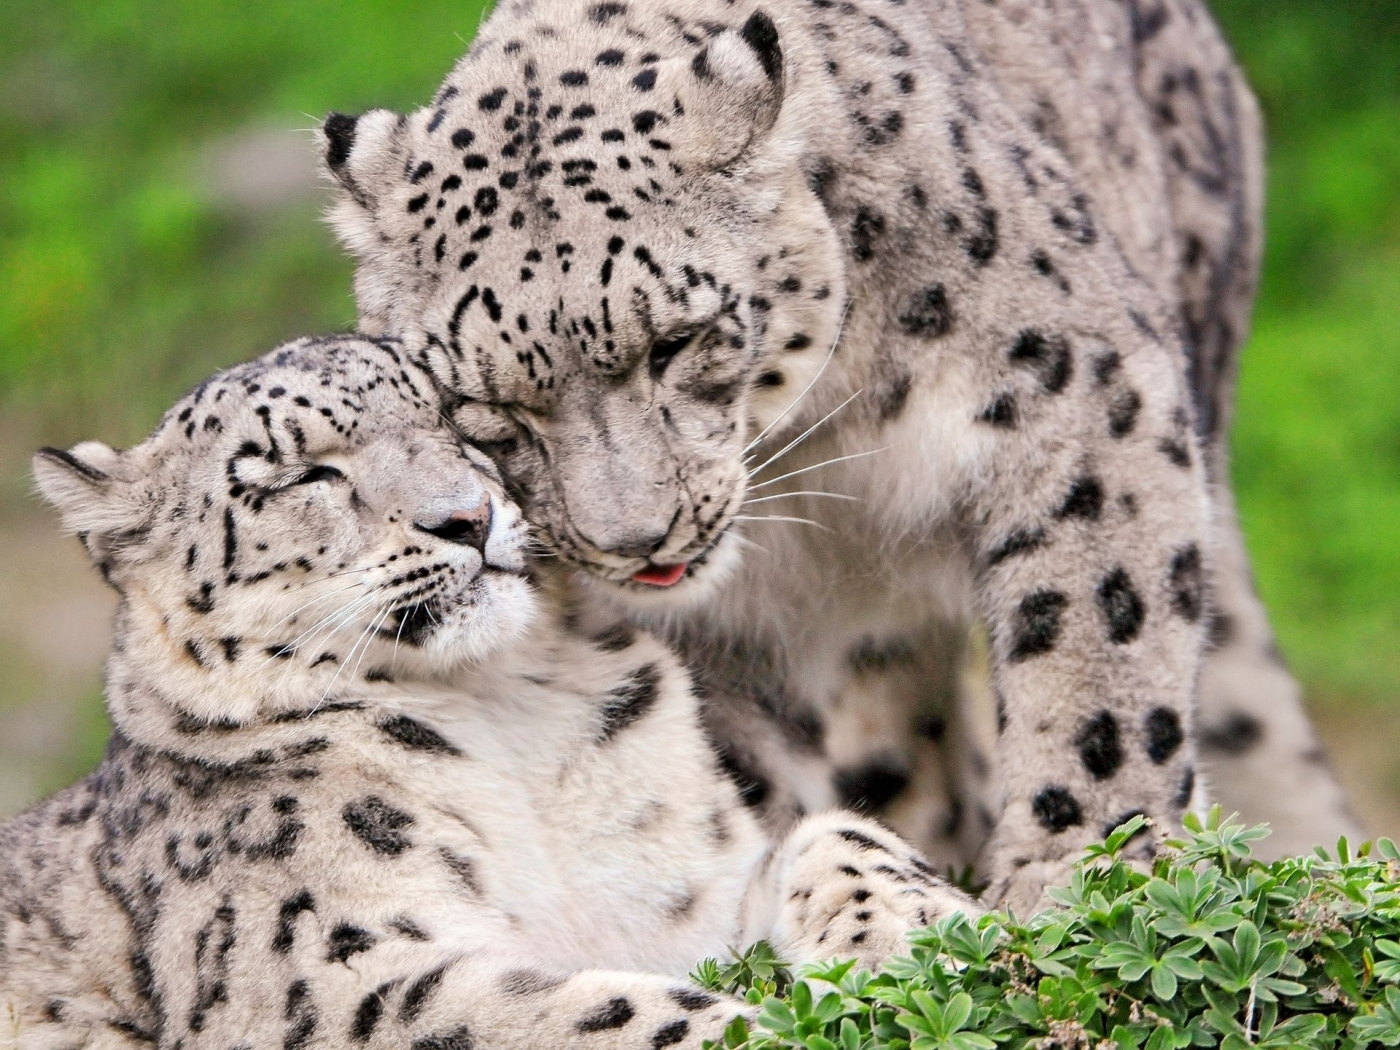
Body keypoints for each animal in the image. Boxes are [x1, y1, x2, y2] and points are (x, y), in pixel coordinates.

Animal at [5, 337, 980, 1050]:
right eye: (300, 475)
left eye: (454, 416)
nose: (466, 516)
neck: (508, 718)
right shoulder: (317, 975)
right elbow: (576, 1011)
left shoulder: (690, 895)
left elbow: (836, 834)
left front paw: (915, 940)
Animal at [315, 0, 1355, 912]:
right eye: (486, 405)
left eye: (676, 342)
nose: (634, 538)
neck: (822, 447)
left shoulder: (1076, 386)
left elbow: (1103, 644)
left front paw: (1078, 870)